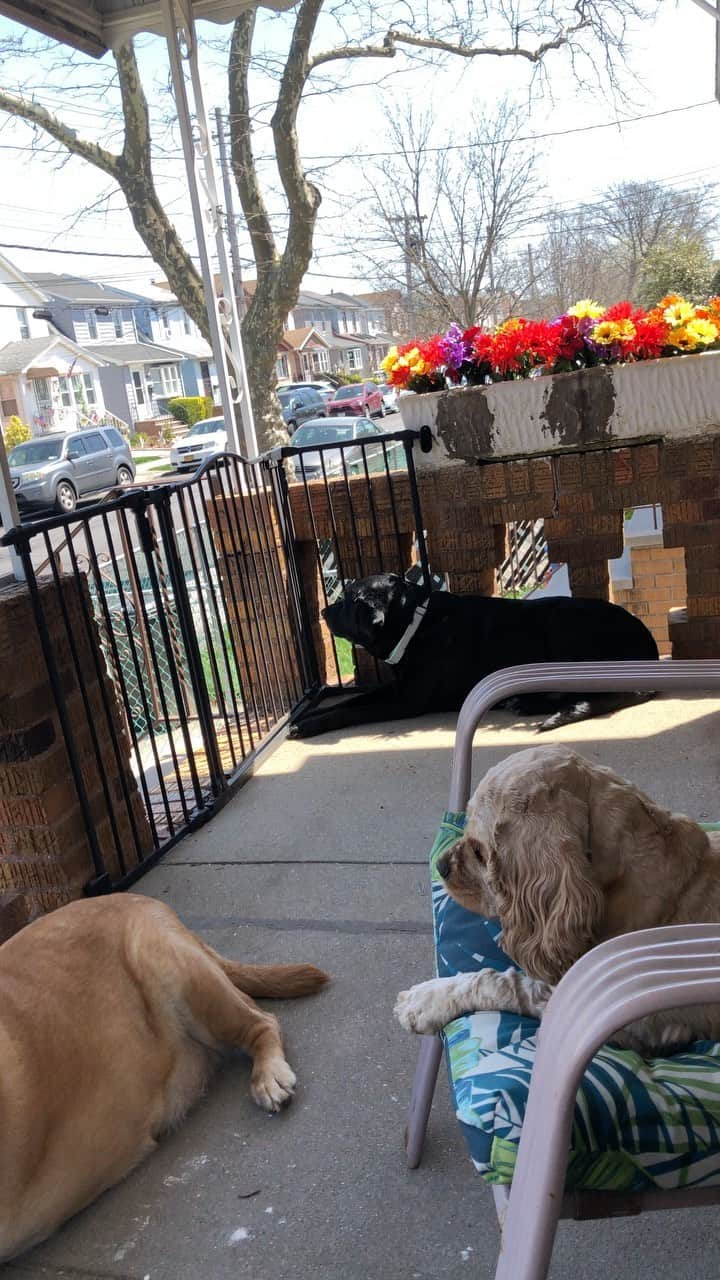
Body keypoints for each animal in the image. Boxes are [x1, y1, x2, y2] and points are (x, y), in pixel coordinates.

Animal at [289, 573, 655, 742]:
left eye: (349, 599)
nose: (322, 611)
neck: (416, 622)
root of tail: (649, 648)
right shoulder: (397, 688)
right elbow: (349, 701)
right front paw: (305, 717)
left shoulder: (407, 700)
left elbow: (351, 712)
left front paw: (309, 726)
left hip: (564, 628)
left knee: (597, 693)